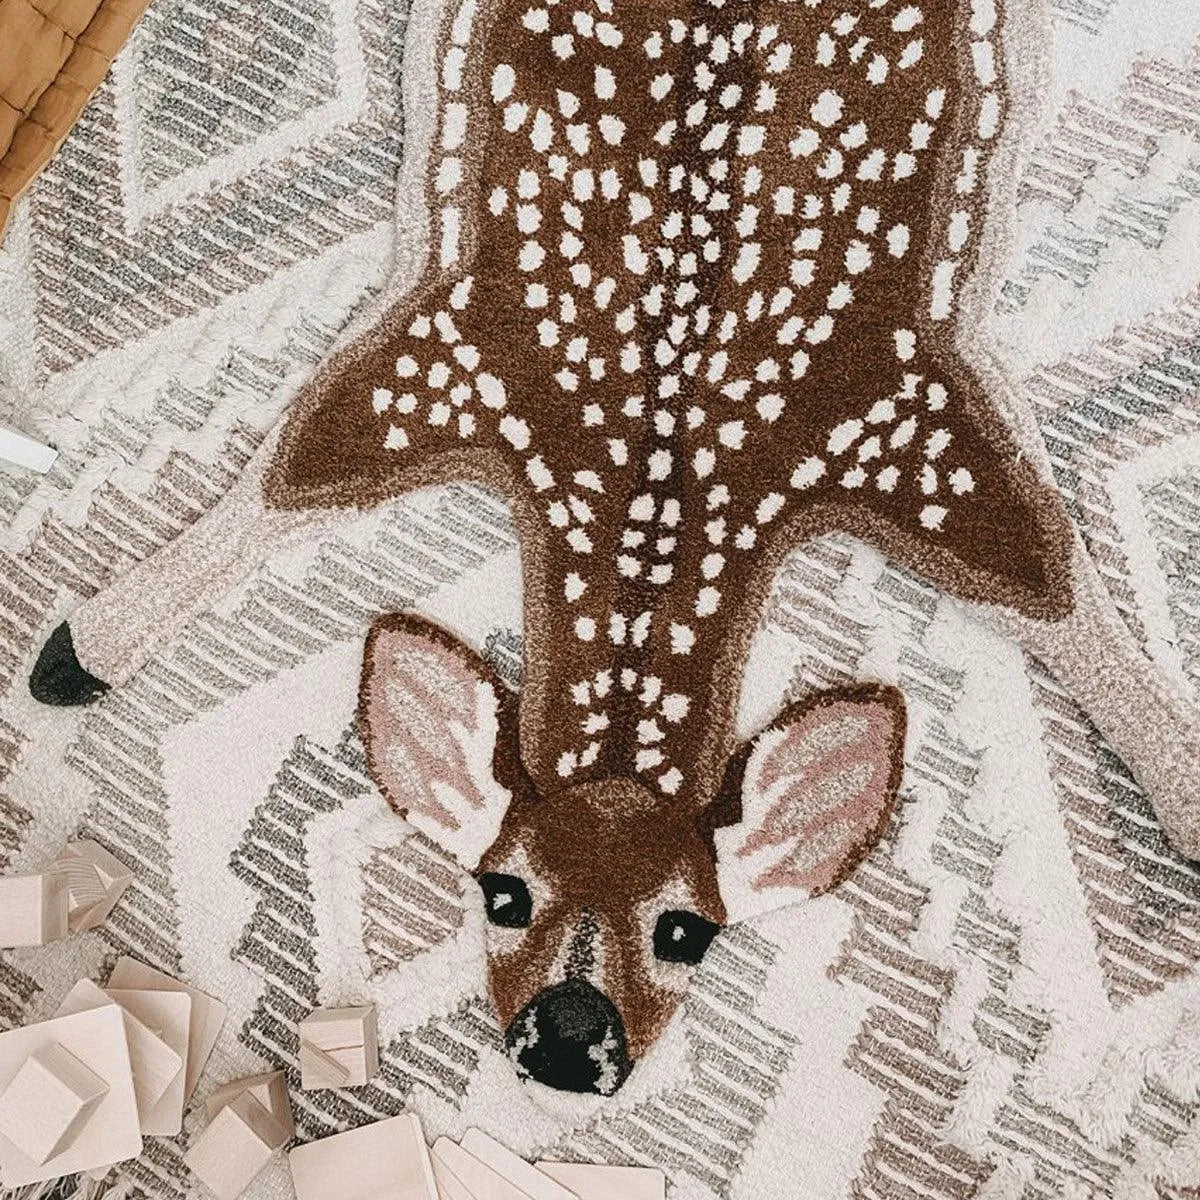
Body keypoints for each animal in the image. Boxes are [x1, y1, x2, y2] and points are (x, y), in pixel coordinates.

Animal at [27, 0, 1200, 1094]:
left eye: (692, 930)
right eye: (502, 891)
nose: (567, 1035)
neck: (661, 469)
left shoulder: (912, 424)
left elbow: (1055, 589)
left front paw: (1181, 782)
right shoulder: (448, 353)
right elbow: (278, 482)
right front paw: (77, 650)